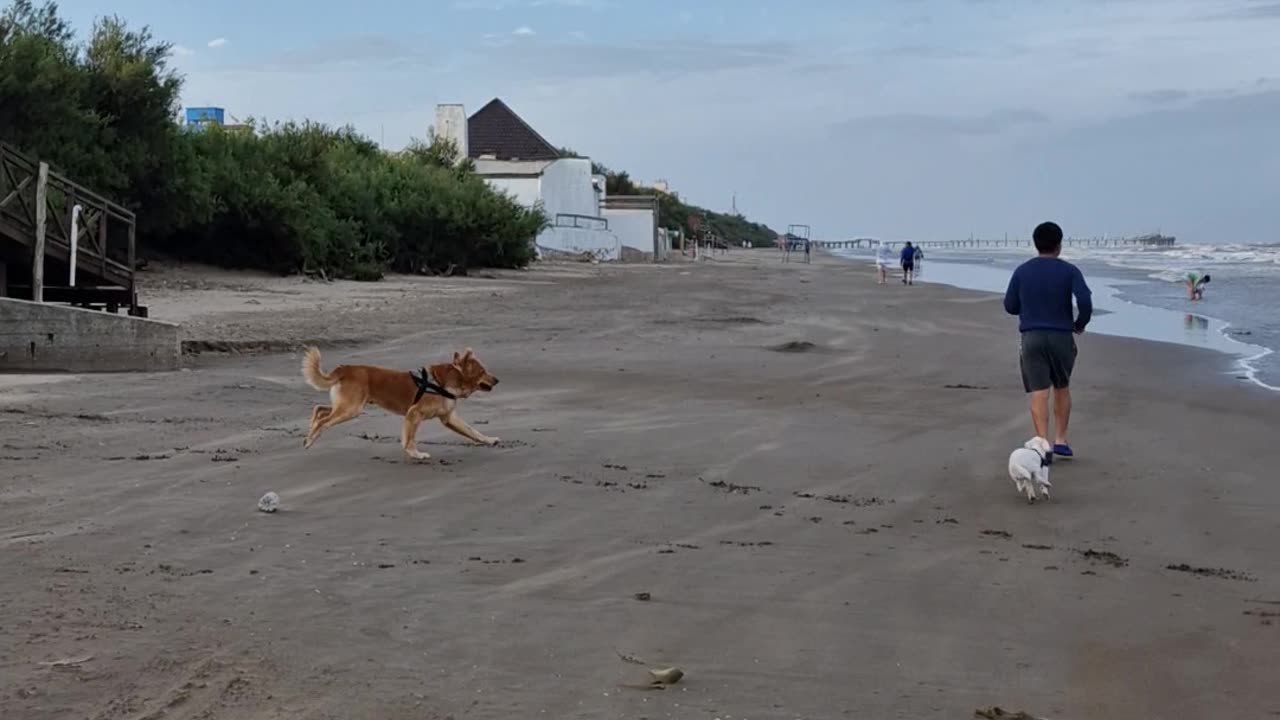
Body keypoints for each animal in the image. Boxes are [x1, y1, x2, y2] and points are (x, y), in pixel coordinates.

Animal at [299, 345, 499, 456]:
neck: (442, 383)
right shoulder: (414, 414)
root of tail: (345, 369)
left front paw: (489, 440)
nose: (497, 380)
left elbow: (473, 431)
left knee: (319, 409)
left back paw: (310, 430)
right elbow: (409, 438)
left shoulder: (449, 418)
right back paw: (310, 439)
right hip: (351, 409)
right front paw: (415, 454)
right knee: (324, 420)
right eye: (483, 371)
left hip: (346, 406)